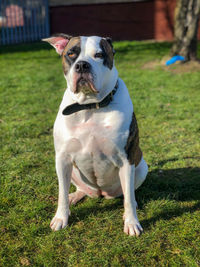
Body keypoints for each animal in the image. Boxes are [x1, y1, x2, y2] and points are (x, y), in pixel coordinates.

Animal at [43, 34, 148, 237]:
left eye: (99, 55)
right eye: (71, 54)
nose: (82, 65)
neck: (90, 106)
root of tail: (100, 193)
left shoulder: (126, 159)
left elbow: (128, 199)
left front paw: (132, 222)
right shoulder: (62, 158)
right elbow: (61, 193)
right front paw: (61, 217)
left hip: (140, 167)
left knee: (128, 193)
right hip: (73, 171)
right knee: (79, 189)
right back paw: (75, 196)